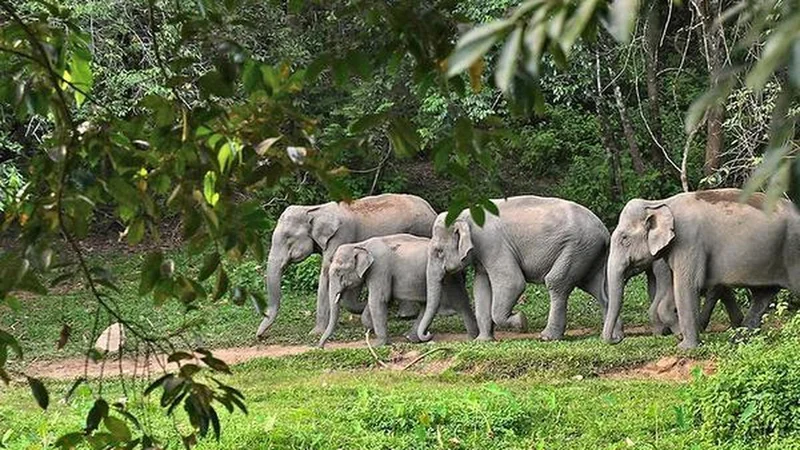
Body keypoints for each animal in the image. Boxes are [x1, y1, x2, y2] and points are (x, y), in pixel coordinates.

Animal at [257, 194, 438, 338]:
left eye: (288, 237)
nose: (259, 336)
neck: (314, 210)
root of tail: (431, 209)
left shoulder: (342, 235)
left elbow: (326, 274)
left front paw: (315, 333)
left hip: (420, 229)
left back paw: (405, 315)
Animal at [318, 234, 478, 347]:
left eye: (339, 272)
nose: (320, 346)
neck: (360, 245)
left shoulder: (380, 268)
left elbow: (378, 299)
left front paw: (378, 344)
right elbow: (376, 301)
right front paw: (371, 328)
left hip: (446, 275)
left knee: (455, 301)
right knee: (440, 303)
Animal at [418, 195, 621, 342]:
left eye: (438, 251)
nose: (428, 335)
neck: (467, 214)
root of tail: (604, 231)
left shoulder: (492, 244)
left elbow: (512, 282)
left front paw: (521, 321)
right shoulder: (482, 254)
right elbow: (481, 288)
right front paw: (483, 341)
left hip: (577, 247)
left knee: (556, 282)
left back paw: (547, 337)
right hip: (589, 253)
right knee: (597, 289)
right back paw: (614, 336)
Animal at [603, 189, 799, 349]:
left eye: (624, 239)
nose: (617, 339)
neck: (659, 203)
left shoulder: (688, 241)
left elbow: (687, 286)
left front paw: (685, 346)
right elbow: (672, 291)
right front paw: (680, 336)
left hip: (793, 251)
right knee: (763, 295)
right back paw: (738, 341)